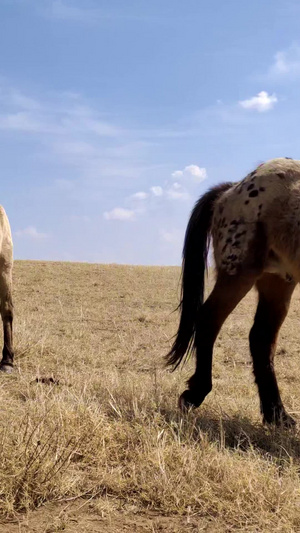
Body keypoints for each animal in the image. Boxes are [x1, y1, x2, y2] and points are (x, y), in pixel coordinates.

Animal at [166, 156, 300, 426]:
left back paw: (277, 415)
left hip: (278, 279)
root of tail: (233, 188)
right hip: (239, 273)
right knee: (209, 319)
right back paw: (195, 393)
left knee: (261, 337)